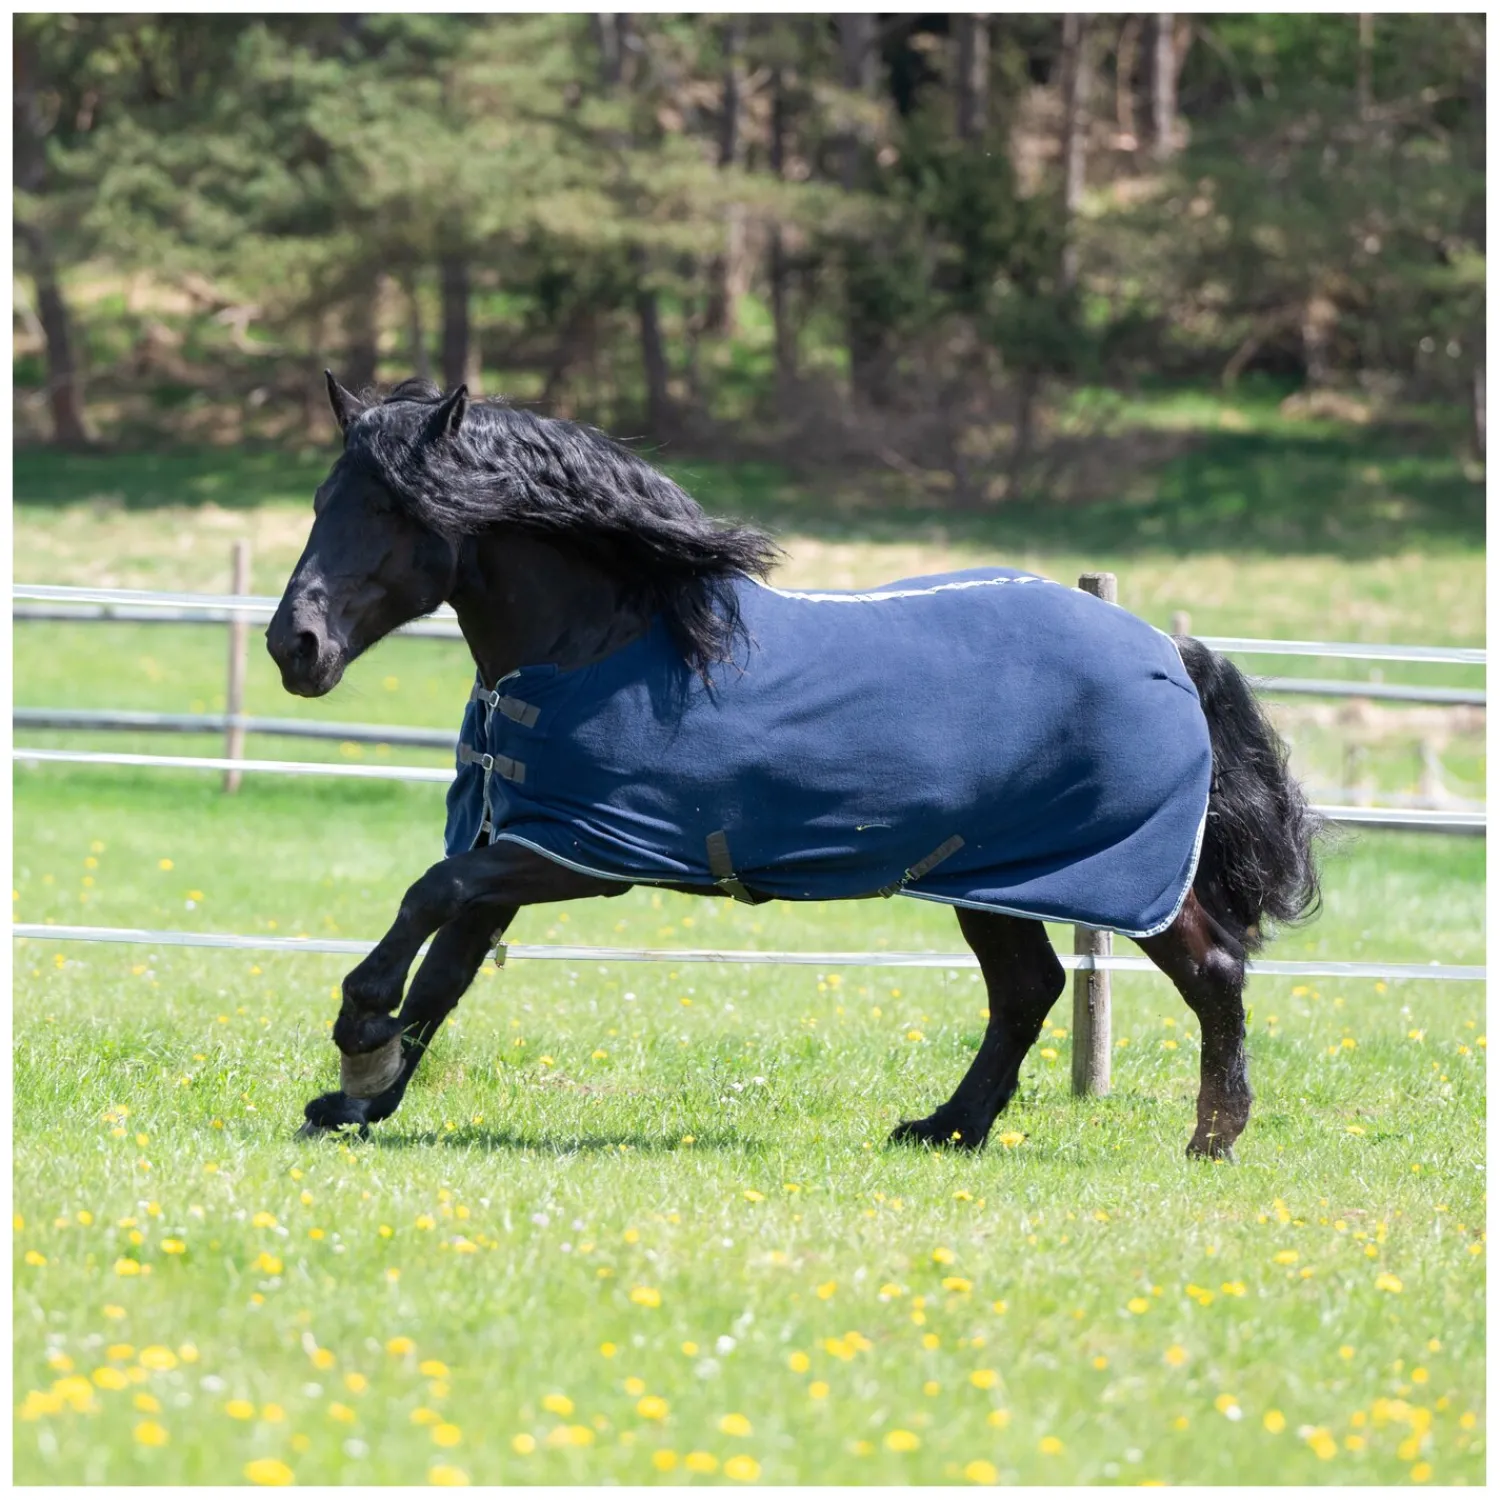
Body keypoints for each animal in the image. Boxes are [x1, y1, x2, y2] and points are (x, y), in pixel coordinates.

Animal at [267, 374, 1323, 1159]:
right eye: (321, 502)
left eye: (393, 509)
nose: (294, 646)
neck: (604, 644)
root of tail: (1165, 648)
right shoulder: (525, 844)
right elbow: (445, 970)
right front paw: (359, 1101)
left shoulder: (583, 855)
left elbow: (428, 898)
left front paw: (359, 1035)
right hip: (990, 874)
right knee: (1028, 989)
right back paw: (948, 1128)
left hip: (1108, 874)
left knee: (1209, 968)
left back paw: (1212, 1138)